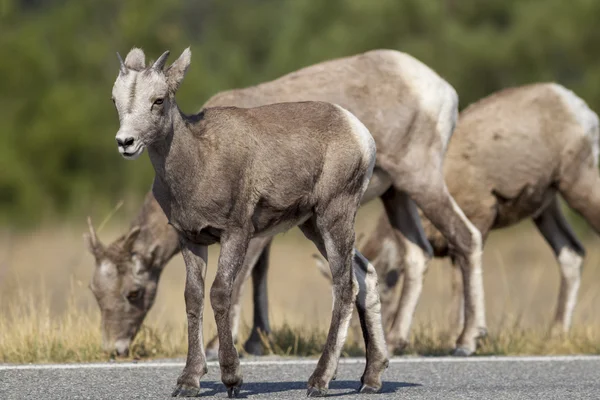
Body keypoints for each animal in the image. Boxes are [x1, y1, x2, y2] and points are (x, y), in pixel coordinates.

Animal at [85, 48, 488, 358]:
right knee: (417, 254)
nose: (113, 349)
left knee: (465, 237)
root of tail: (441, 90)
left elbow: (242, 277)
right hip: (397, 193)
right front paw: (255, 342)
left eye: (133, 292)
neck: (203, 148)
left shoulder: (246, 230)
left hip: (421, 179)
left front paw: (218, 347)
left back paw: (467, 341)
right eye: (96, 293)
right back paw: (398, 341)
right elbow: (260, 276)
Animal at [108, 47, 390, 396]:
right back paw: (371, 379)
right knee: (366, 277)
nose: (126, 142)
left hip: (334, 215)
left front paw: (231, 379)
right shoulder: (191, 240)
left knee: (345, 286)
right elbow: (193, 298)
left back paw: (319, 382)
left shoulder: (236, 235)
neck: (198, 161)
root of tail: (360, 133)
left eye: (158, 100)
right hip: (313, 226)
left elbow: (220, 294)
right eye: (115, 100)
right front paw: (188, 382)